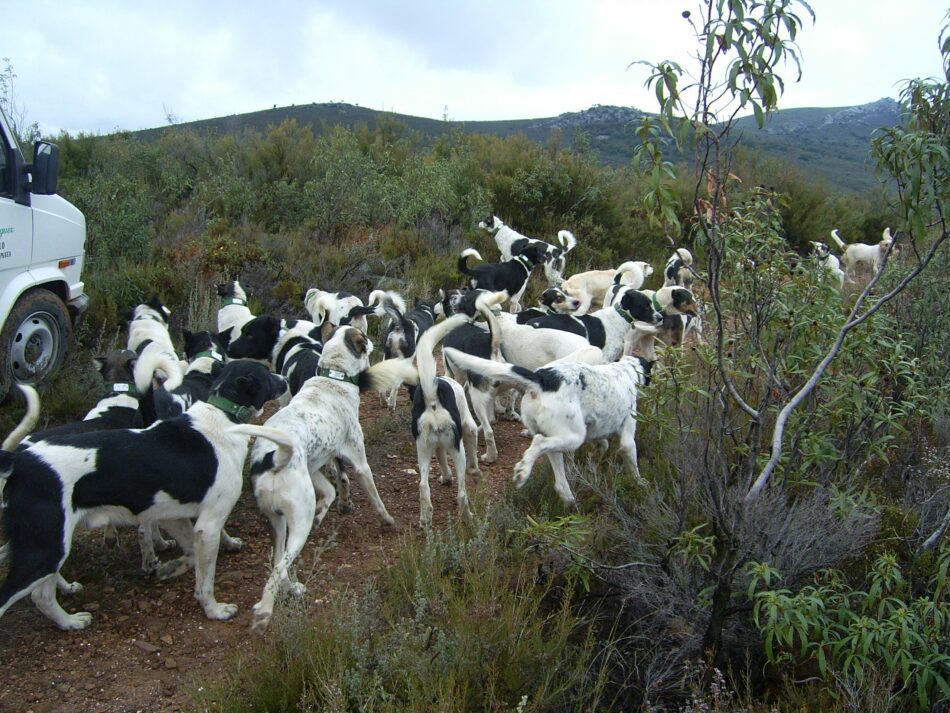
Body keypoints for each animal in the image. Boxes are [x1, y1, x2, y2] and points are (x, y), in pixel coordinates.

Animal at [0, 362, 290, 628]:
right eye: (266, 373)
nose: (285, 379)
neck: (222, 415)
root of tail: (19, 459)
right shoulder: (208, 525)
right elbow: (205, 578)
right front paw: (214, 610)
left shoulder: (174, 516)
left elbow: (189, 554)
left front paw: (170, 567)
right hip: (46, 548)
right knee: (29, 594)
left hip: (50, 543)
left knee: (42, 593)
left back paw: (69, 618)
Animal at [444, 346, 656, 504]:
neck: (626, 371)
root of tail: (540, 379)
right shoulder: (627, 435)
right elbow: (632, 463)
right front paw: (642, 484)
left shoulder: (596, 433)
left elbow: (602, 446)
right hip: (572, 437)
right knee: (538, 443)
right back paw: (523, 473)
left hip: (560, 440)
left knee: (559, 482)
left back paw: (569, 501)